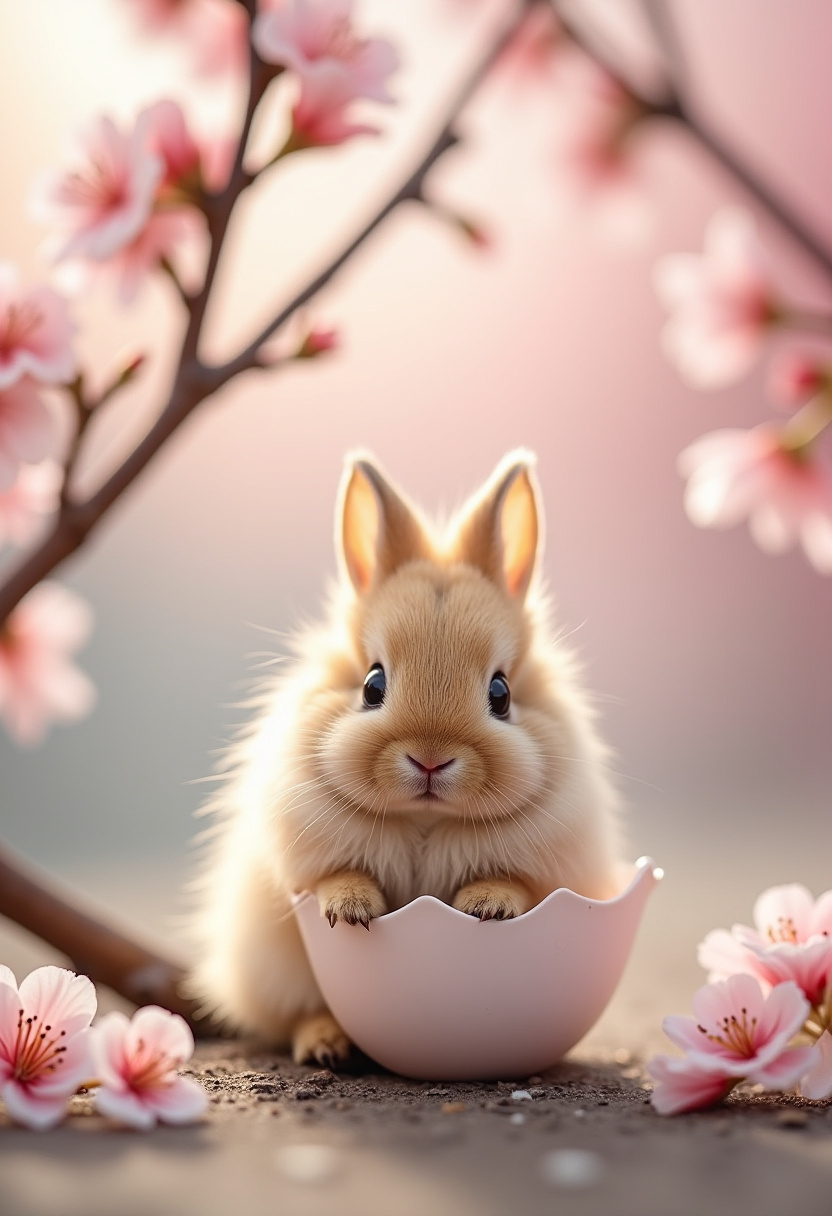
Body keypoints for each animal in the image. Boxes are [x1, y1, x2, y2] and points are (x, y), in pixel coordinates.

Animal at [189, 449, 623, 1067]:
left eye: (500, 694)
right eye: (373, 685)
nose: (430, 760)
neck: (423, 819)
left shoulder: (545, 868)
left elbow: (515, 884)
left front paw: (487, 907)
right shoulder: (308, 855)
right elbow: (335, 876)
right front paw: (351, 910)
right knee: (298, 1013)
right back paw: (326, 1049)